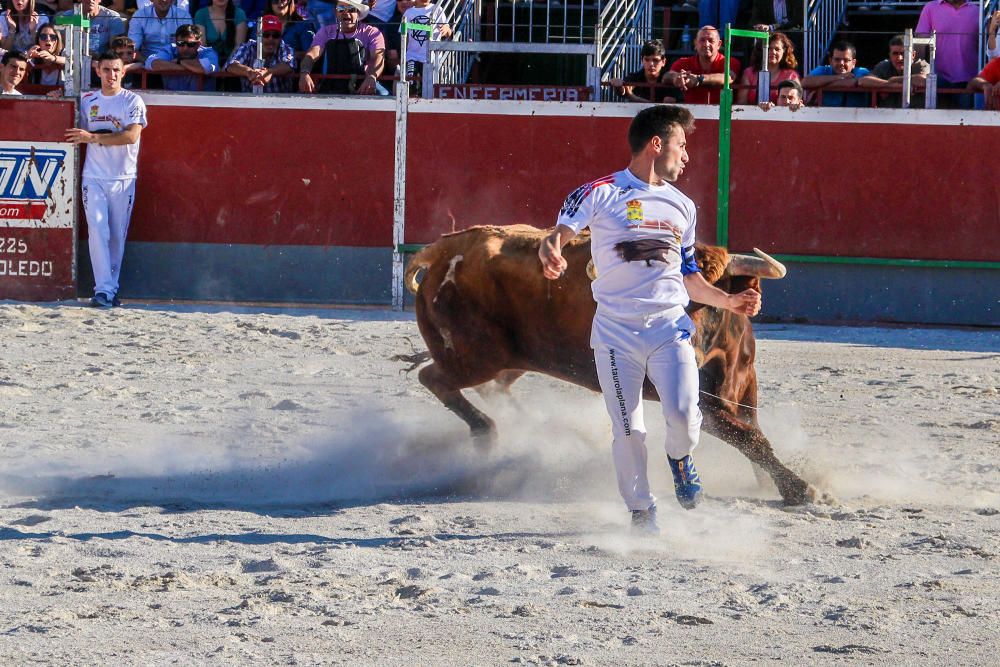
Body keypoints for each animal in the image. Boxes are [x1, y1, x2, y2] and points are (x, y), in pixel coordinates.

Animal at [402, 224, 816, 506]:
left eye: (710, 300)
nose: (682, 351)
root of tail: (443, 249)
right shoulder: (703, 404)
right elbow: (748, 436)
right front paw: (799, 488)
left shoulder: (745, 382)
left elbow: (752, 428)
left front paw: (770, 482)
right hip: (475, 356)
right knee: (435, 377)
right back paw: (487, 431)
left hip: (508, 358)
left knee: (491, 386)